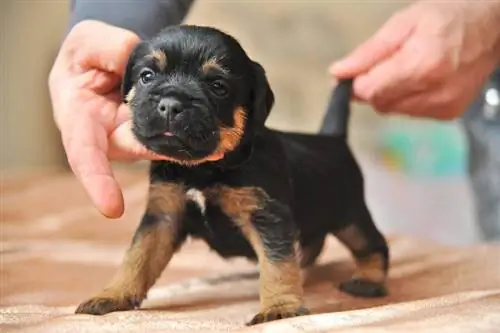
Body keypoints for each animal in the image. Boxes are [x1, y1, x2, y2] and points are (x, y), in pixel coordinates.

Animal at [74, 25, 388, 324]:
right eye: (147, 76)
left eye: (218, 86)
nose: (171, 104)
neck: (202, 169)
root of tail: (333, 138)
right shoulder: (163, 215)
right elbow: (138, 256)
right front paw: (113, 294)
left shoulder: (265, 216)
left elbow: (277, 262)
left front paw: (280, 307)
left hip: (351, 217)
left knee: (373, 244)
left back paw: (368, 280)